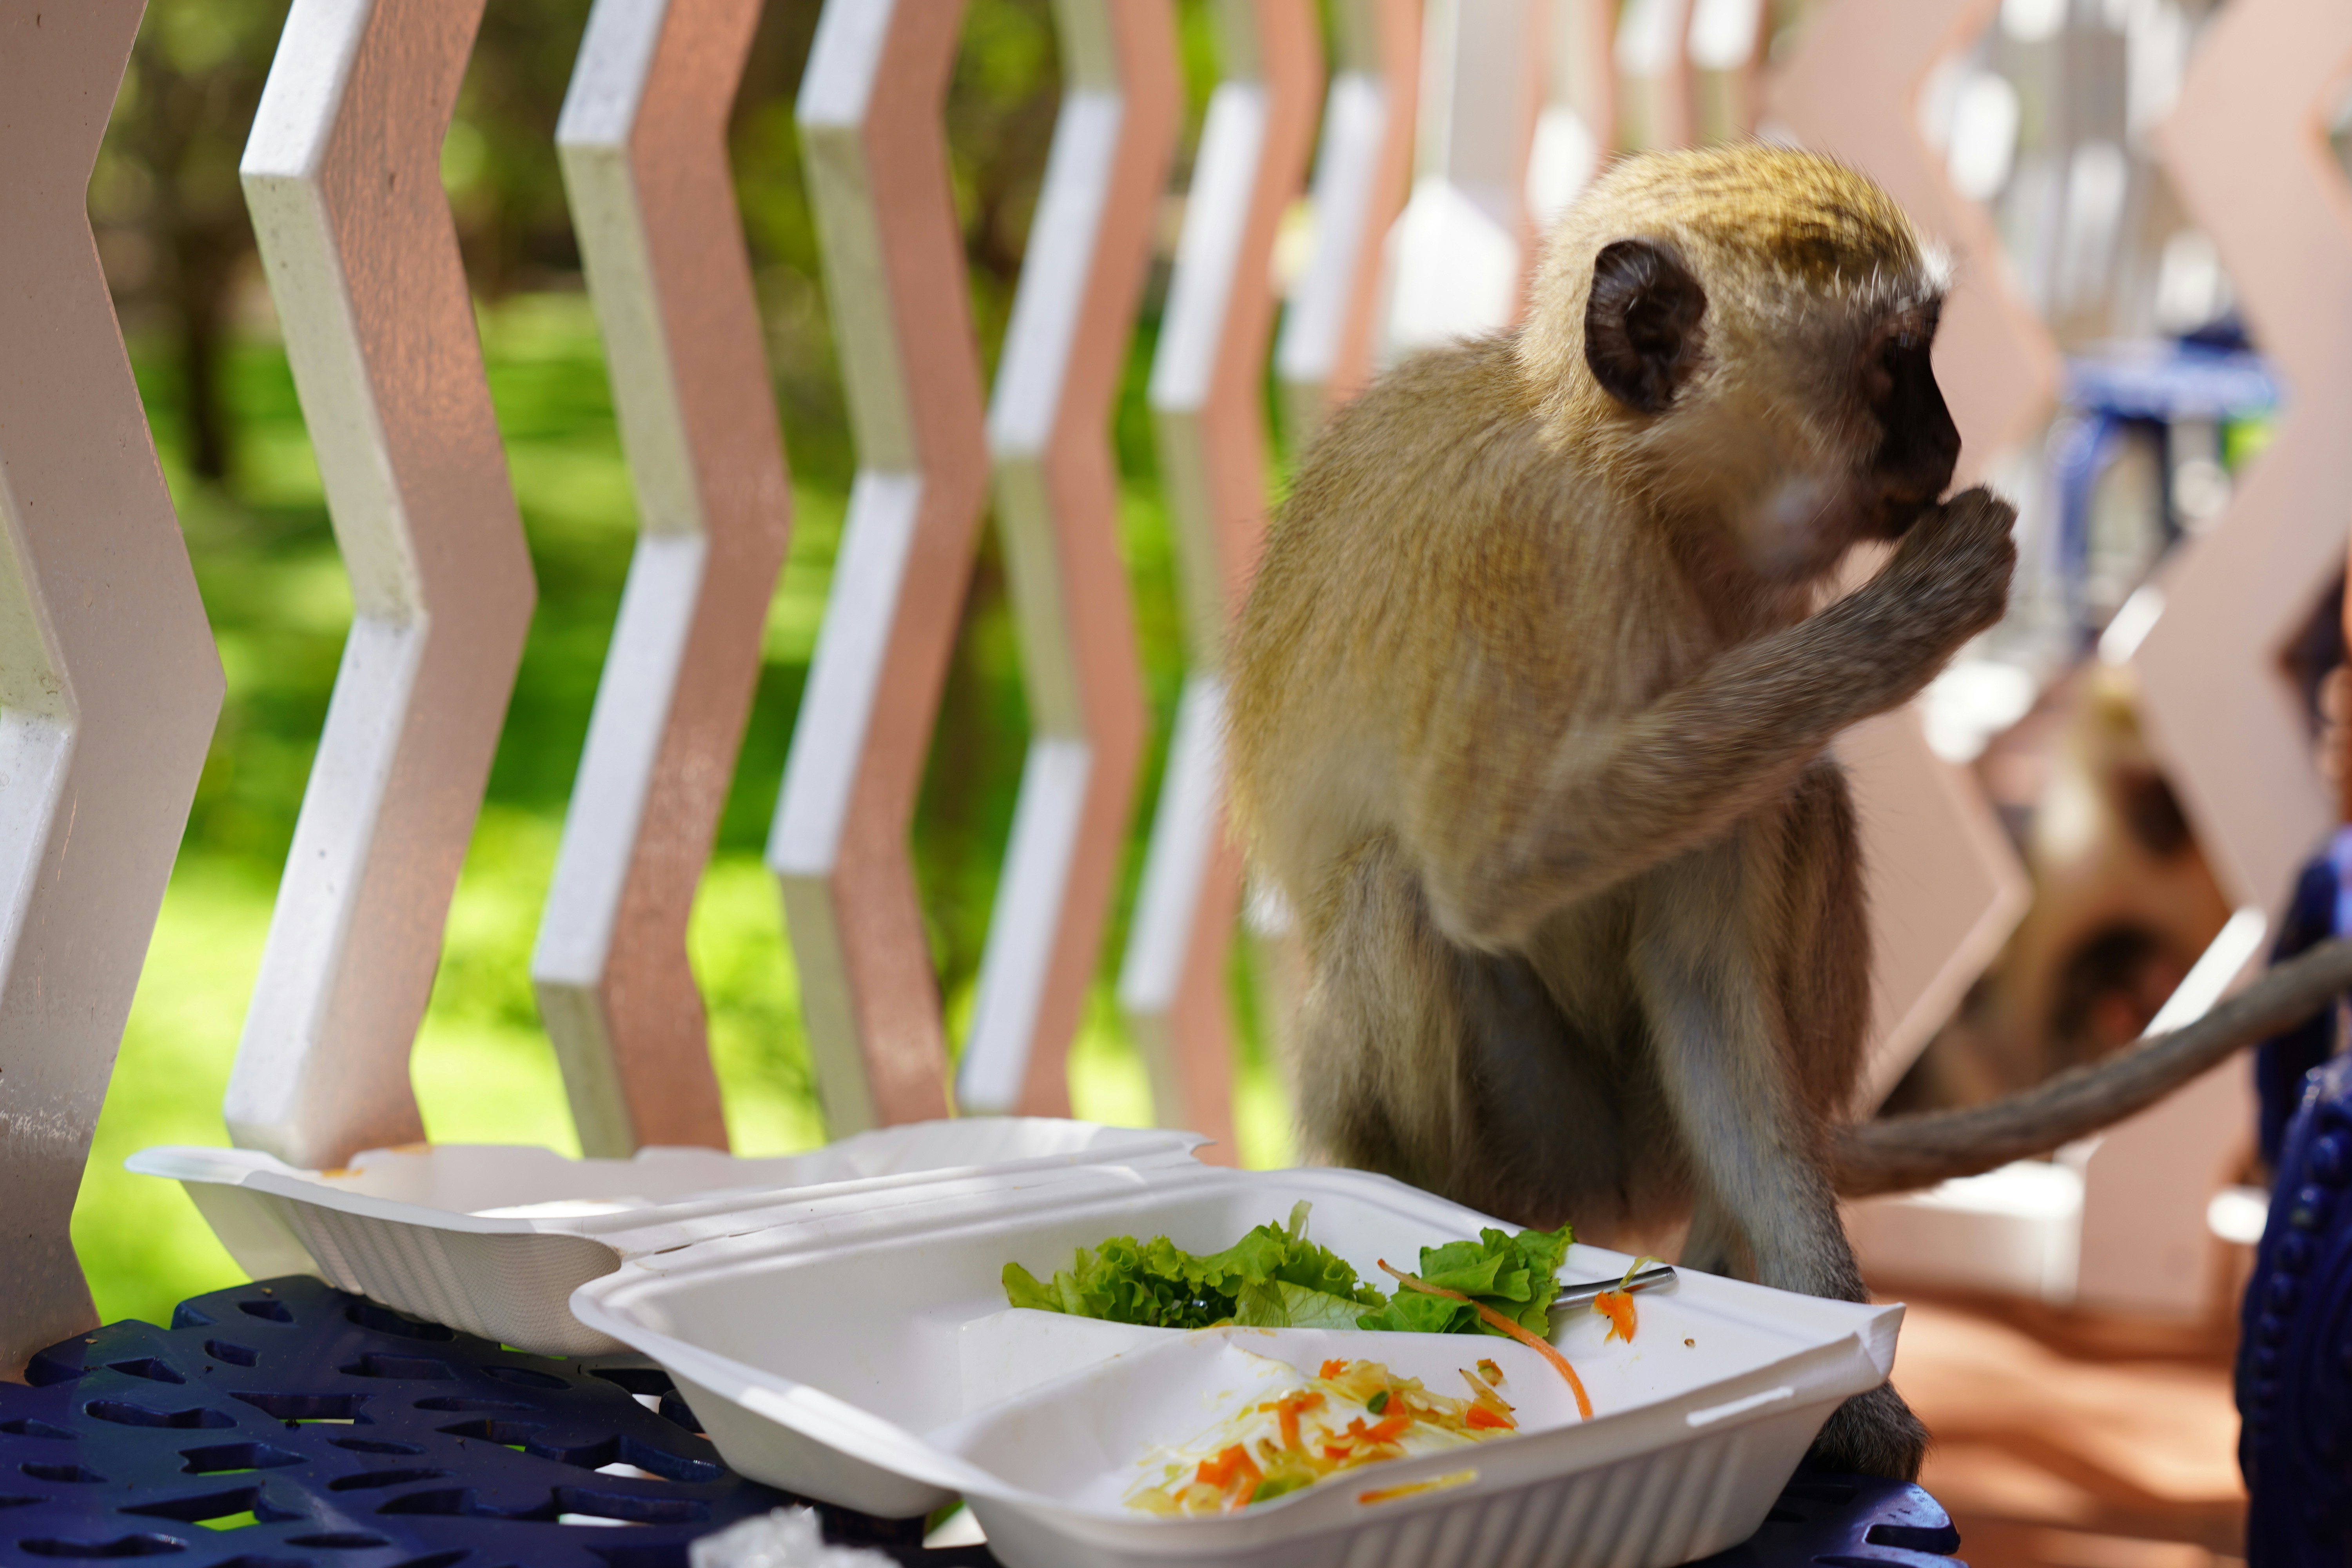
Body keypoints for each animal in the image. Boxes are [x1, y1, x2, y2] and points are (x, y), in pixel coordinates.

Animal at [1227, 144, 2352, 1480]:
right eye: (1895, 359)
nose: (1947, 434)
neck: (1641, 496)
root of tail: (1600, 1202)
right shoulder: (1533, 546)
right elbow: (1487, 870)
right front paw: (1910, 618)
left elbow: (1708, 989)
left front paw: (1847, 1387)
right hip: (1531, 1162)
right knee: (1406, 890)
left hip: (1637, 1148)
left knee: (1797, 805)